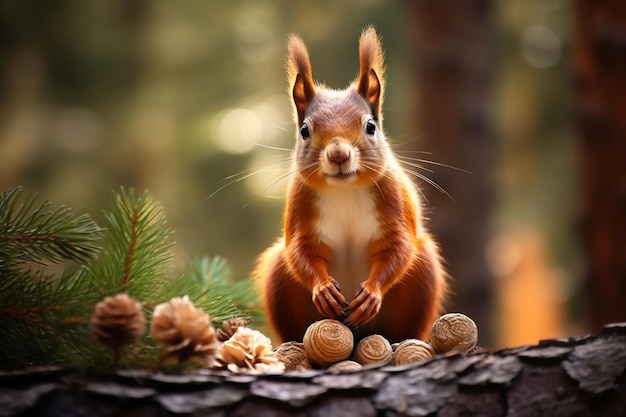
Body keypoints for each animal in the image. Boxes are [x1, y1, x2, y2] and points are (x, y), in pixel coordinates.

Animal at [256, 27, 446, 342]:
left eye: (370, 126)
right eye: (304, 130)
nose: (338, 155)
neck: (344, 190)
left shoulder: (393, 203)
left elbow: (398, 248)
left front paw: (371, 293)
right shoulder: (300, 209)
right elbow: (301, 253)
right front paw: (323, 289)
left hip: (422, 278)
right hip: (278, 278)